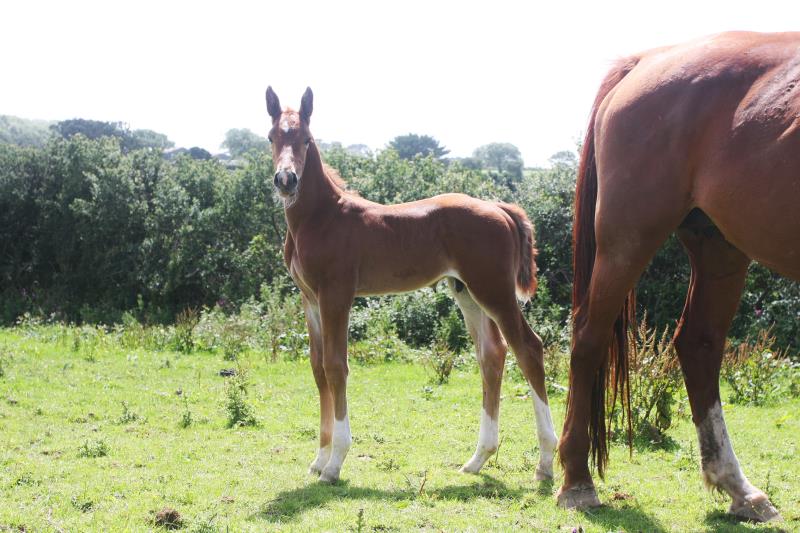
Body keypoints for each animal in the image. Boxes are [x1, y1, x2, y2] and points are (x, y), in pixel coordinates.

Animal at [264, 86, 556, 482]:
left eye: (307, 140)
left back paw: (545, 462)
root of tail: (501, 209)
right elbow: (318, 368)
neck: (321, 217)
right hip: (466, 292)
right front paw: (319, 458)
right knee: (492, 355)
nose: (286, 180)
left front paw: (335, 462)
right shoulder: (309, 300)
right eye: (272, 137)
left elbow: (336, 367)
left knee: (528, 349)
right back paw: (478, 458)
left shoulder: (336, 295)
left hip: (494, 291)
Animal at [560, 31, 796, 520]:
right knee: (588, 337)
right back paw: (577, 482)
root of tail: (647, 59)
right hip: (627, 237)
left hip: (719, 246)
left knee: (699, 343)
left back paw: (739, 488)